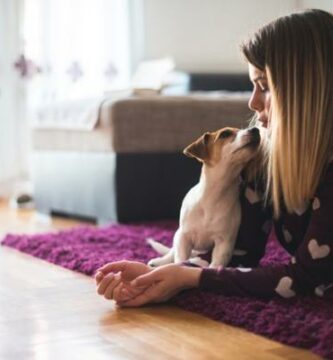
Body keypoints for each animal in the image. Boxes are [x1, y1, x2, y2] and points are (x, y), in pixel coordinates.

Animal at [147, 126, 264, 268]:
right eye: (225, 134)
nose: (255, 129)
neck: (213, 196)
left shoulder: (224, 243)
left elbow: (216, 263)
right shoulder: (184, 237)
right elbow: (180, 259)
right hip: (177, 235)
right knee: (172, 252)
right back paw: (160, 262)